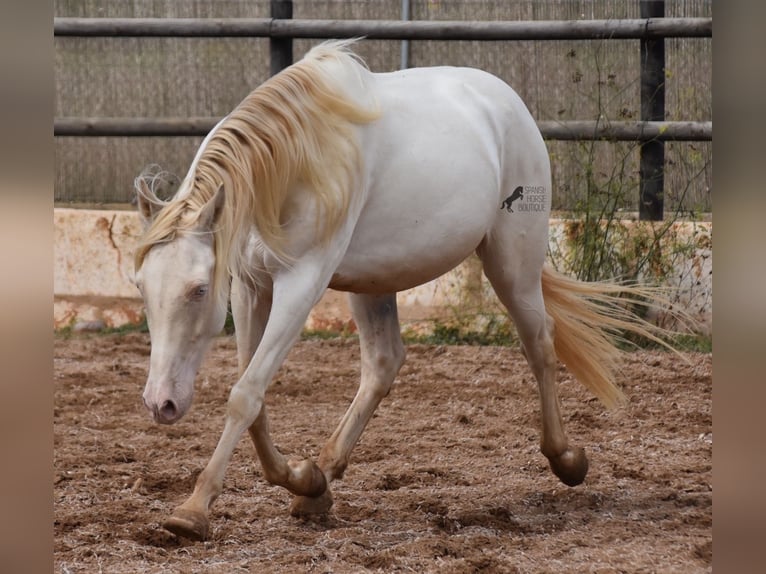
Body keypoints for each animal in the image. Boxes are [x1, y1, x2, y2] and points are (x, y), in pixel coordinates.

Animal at [135, 41, 668, 544]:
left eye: (199, 289)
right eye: (141, 286)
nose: (161, 404)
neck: (293, 162)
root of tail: (507, 103)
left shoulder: (302, 282)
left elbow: (245, 394)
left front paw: (193, 511)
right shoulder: (250, 286)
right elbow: (254, 394)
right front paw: (302, 477)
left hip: (512, 264)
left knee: (539, 343)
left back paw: (566, 459)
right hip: (373, 283)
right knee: (383, 363)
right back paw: (319, 484)